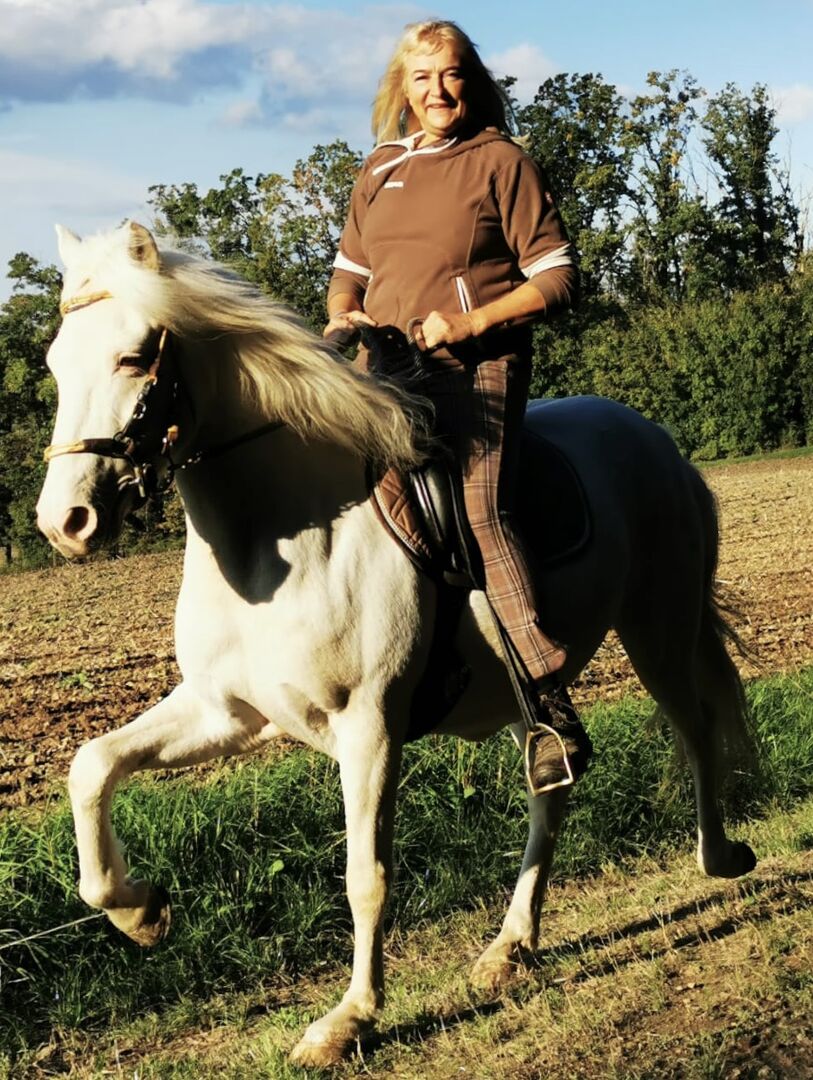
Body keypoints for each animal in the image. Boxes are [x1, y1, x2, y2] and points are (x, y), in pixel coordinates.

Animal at [36, 221, 756, 1068]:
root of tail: (652, 439)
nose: (65, 523)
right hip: (538, 695)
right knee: (554, 787)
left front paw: (349, 1019)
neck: (282, 534)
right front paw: (140, 911)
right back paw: (510, 947)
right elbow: (92, 766)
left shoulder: (369, 727)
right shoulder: (228, 711)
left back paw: (718, 857)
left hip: (657, 630)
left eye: (131, 356)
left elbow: (366, 875)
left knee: (696, 731)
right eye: (55, 362)